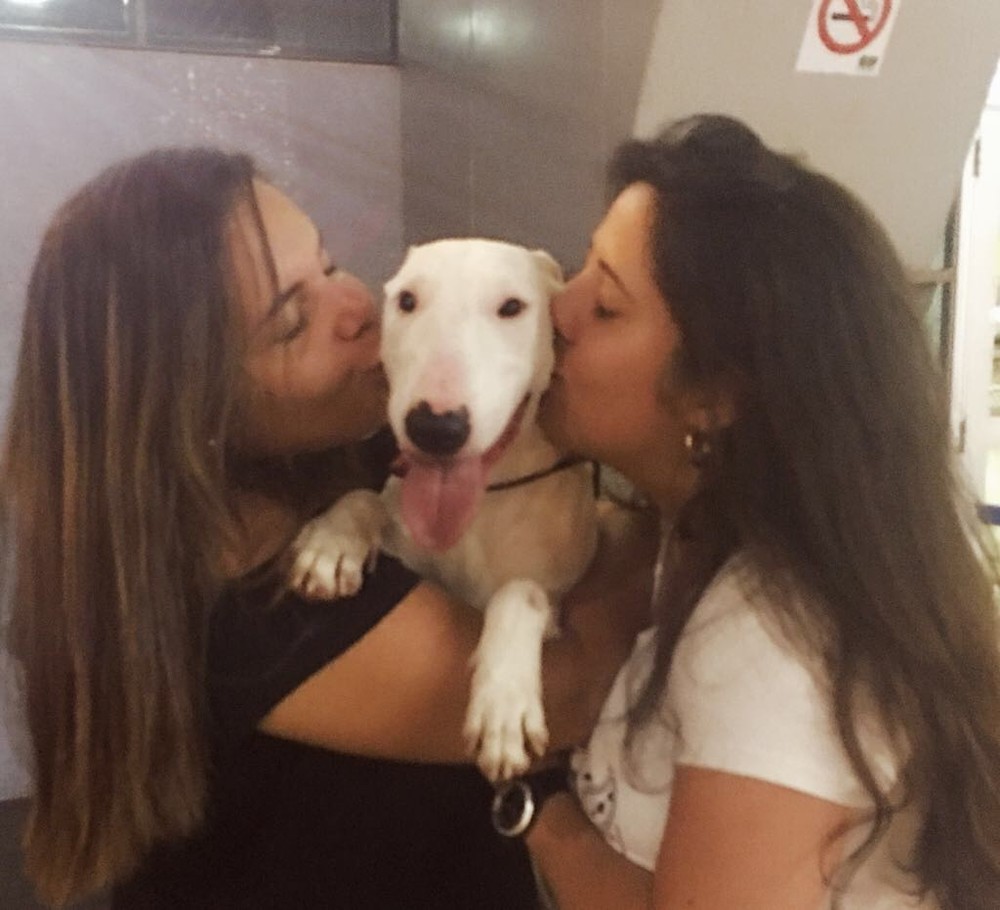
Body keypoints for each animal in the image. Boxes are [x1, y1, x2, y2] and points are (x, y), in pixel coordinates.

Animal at [290, 238, 598, 781]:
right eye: (407, 300)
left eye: (512, 307)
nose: (435, 428)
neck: (481, 507)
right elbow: (367, 498)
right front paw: (331, 544)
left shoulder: (556, 610)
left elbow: (521, 593)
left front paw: (504, 703)